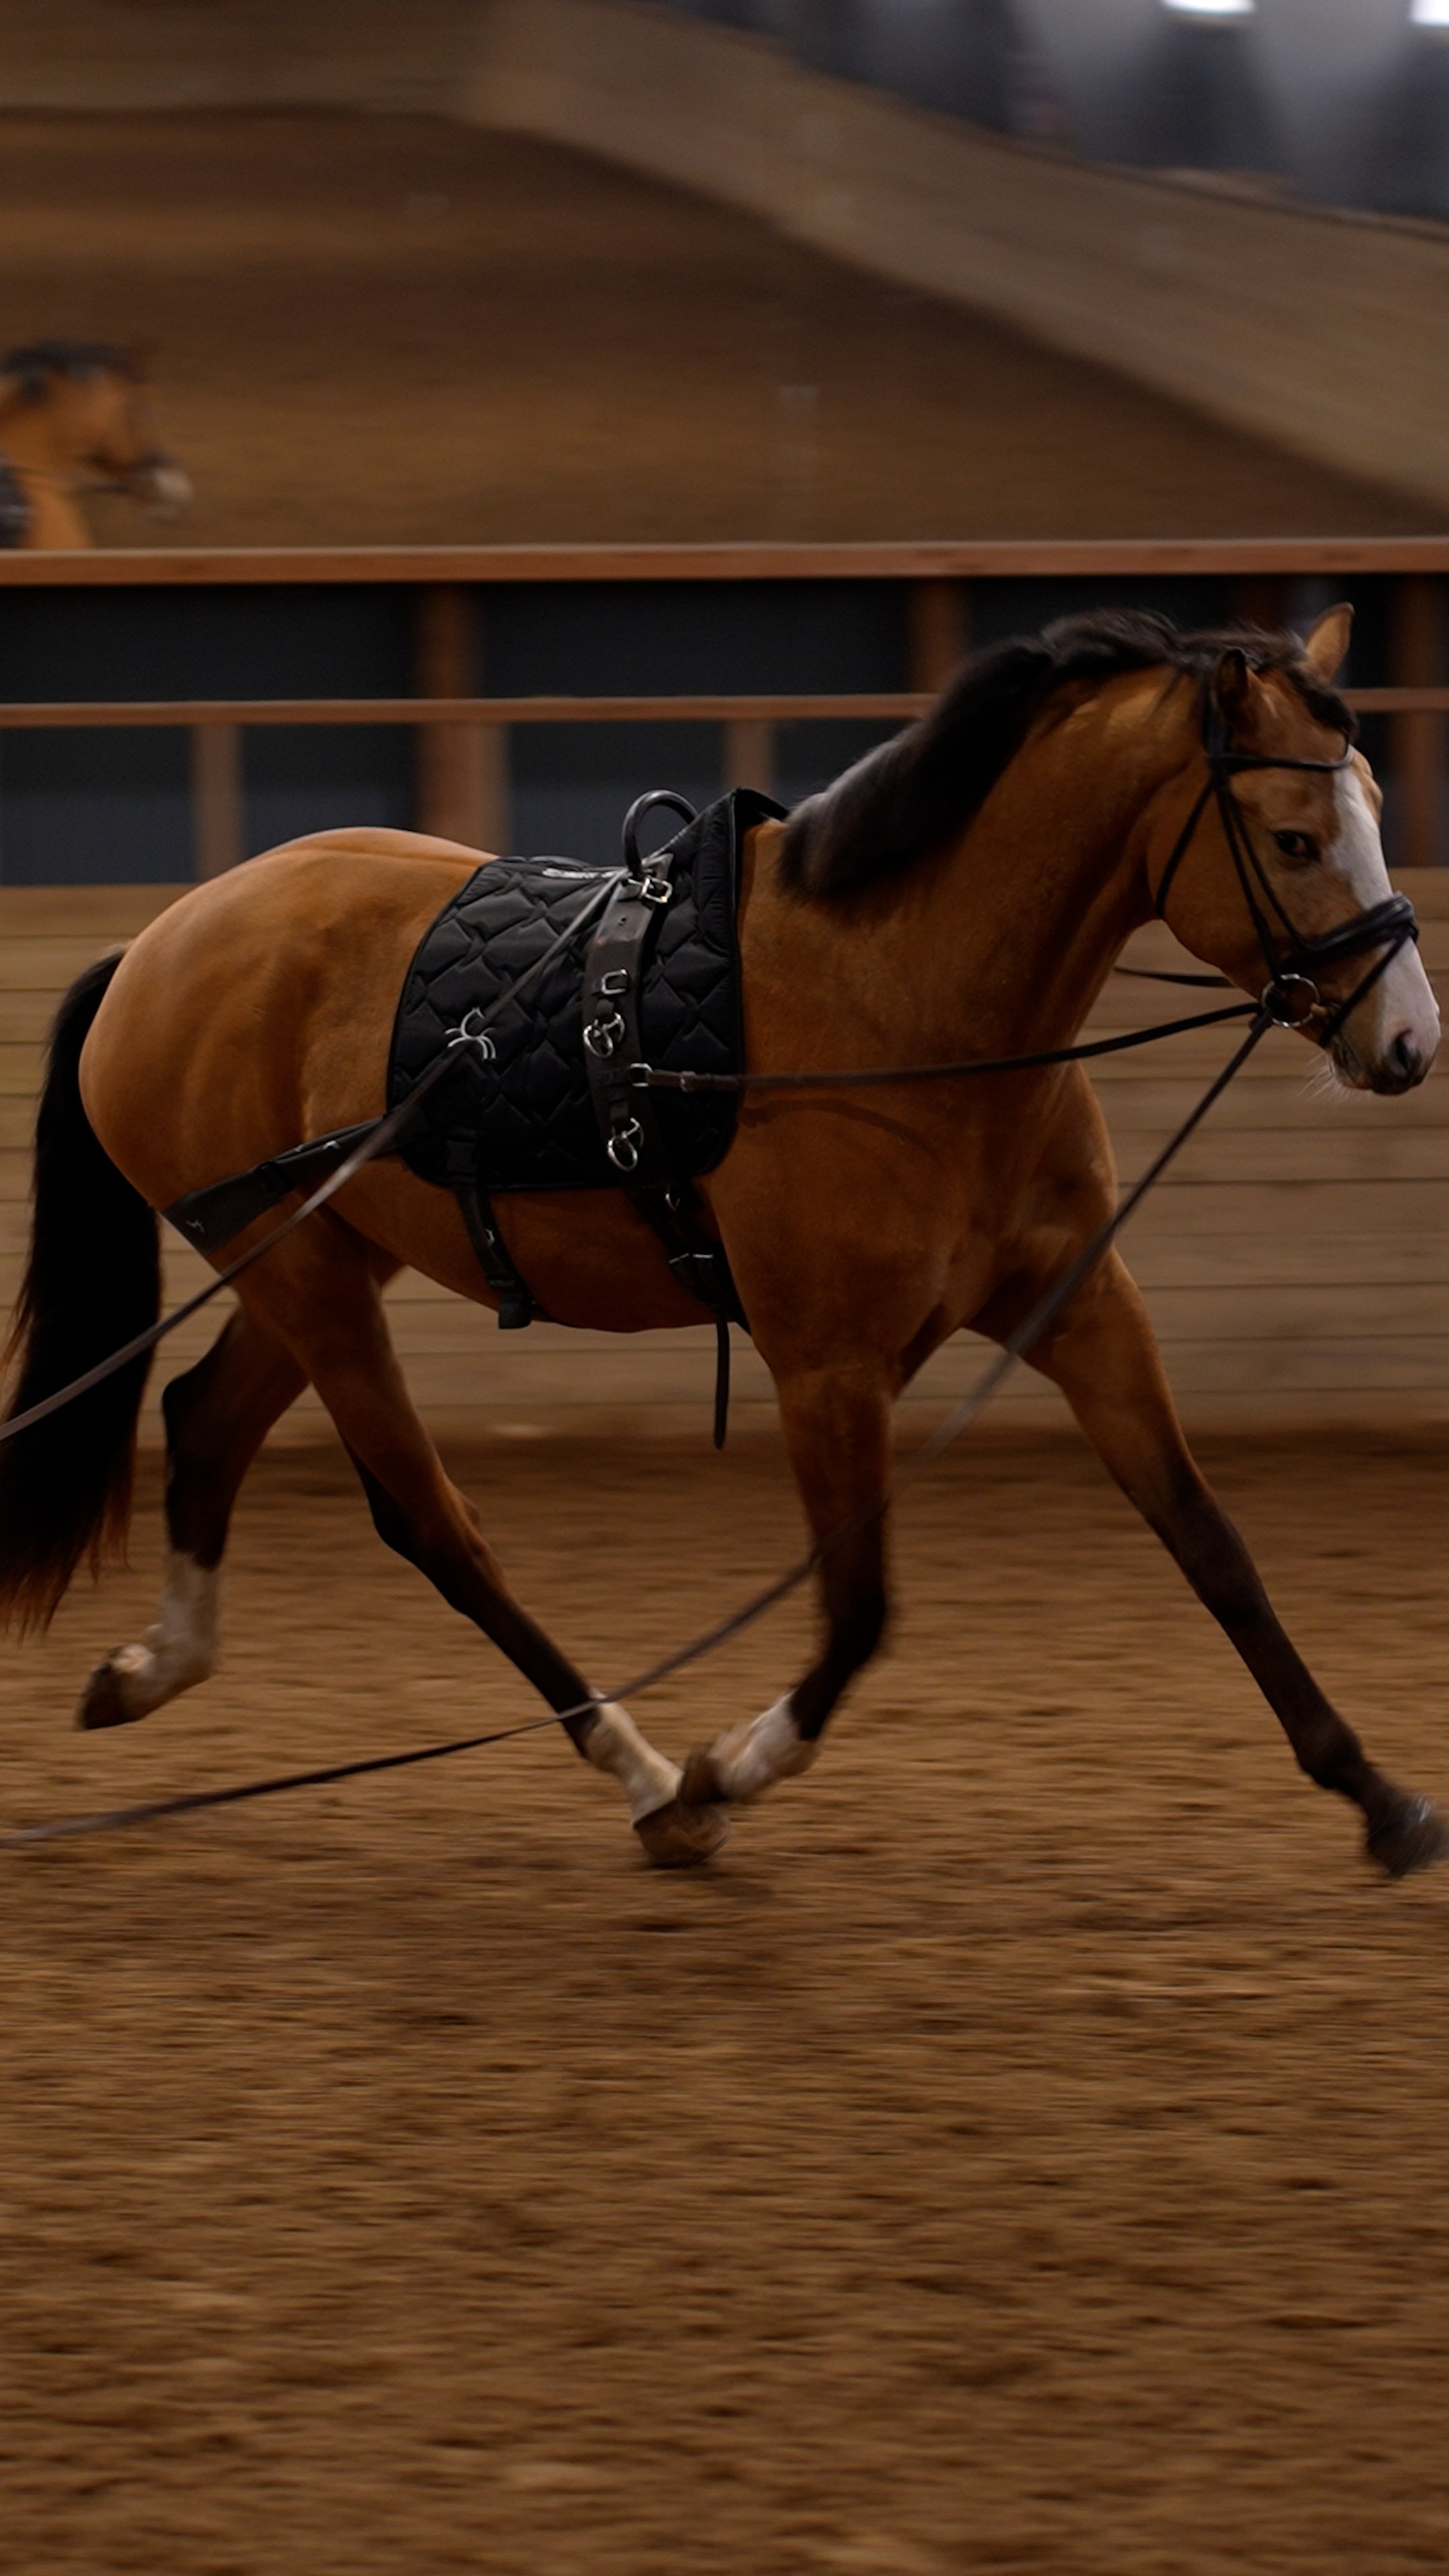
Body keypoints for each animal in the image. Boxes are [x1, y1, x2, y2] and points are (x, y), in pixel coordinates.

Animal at [1, 603, 1443, 1879]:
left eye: (1376, 808)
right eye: (1296, 836)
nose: (1410, 1044)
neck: (902, 1006)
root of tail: (159, 944)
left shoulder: (1081, 1307)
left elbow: (1209, 1542)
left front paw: (1377, 1797)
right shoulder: (827, 1366)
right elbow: (857, 1611)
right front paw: (721, 1774)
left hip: (322, 1259)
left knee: (202, 1425)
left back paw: (150, 1670)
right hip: (310, 1279)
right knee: (433, 1523)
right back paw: (644, 1779)